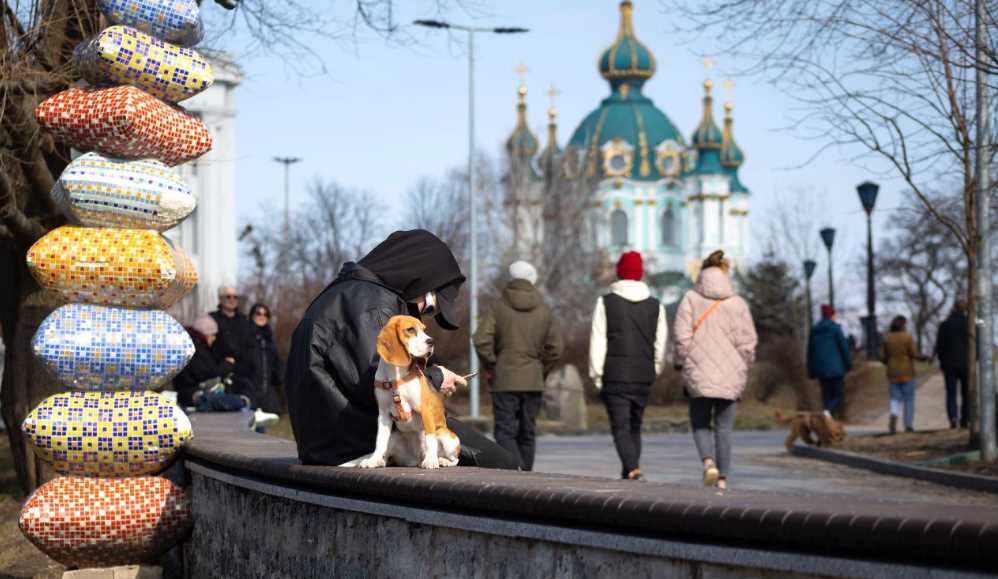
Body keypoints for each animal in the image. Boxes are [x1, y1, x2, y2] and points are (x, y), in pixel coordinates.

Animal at [358, 314, 462, 468]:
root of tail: (417, 458)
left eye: (424, 330)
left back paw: (441, 460)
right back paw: (381, 461)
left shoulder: (426, 410)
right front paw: (373, 460)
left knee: (454, 459)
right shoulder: (383, 415)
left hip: (445, 436)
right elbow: (380, 442)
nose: (431, 341)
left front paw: (431, 461)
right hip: (395, 437)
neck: (396, 376)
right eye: (410, 329)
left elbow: (430, 439)